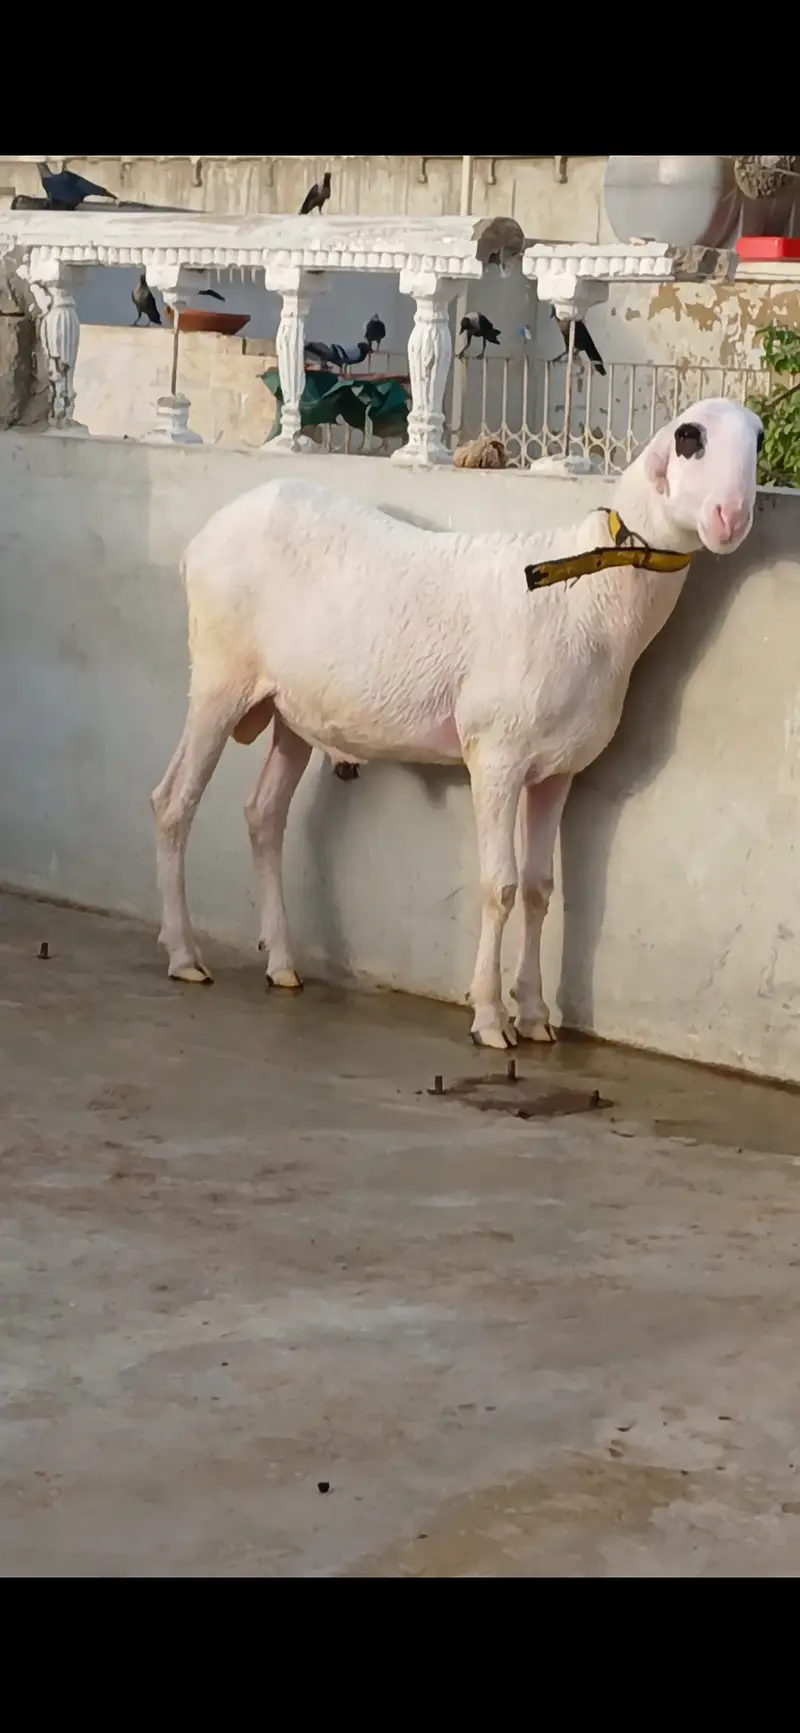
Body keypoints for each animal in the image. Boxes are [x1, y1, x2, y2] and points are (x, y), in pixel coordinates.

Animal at [152, 398, 763, 1050]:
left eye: (756, 439)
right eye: (689, 438)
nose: (731, 517)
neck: (587, 594)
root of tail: (204, 536)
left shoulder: (559, 769)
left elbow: (541, 890)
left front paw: (536, 1015)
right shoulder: (496, 754)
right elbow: (500, 886)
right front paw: (490, 1018)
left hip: (295, 708)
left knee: (264, 814)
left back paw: (283, 964)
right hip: (219, 676)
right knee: (174, 802)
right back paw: (184, 954)